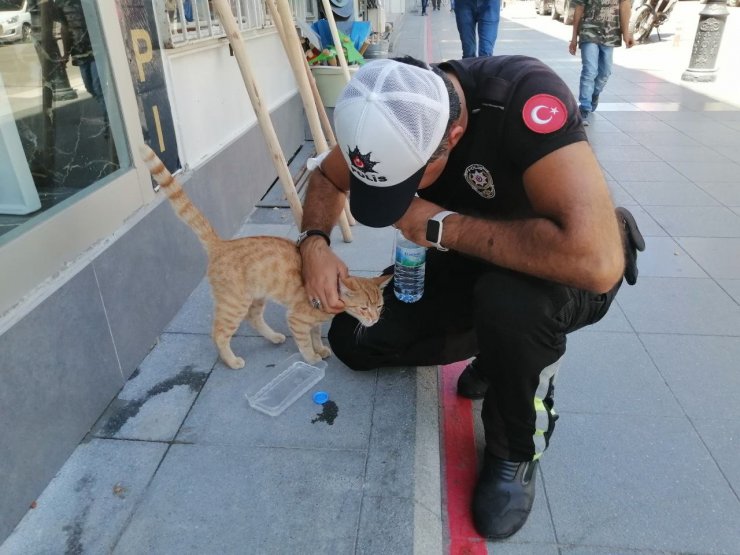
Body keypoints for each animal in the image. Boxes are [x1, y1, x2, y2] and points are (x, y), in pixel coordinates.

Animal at [141, 144, 390, 370]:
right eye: (363, 308)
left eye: (379, 307)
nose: (374, 320)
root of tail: (221, 244)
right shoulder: (297, 319)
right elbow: (304, 342)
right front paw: (312, 358)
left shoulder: (312, 322)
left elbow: (315, 333)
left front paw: (320, 348)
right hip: (234, 303)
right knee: (219, 333)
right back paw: (232, 361)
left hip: (256, 297)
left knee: (253, 318)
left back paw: (273, 337)